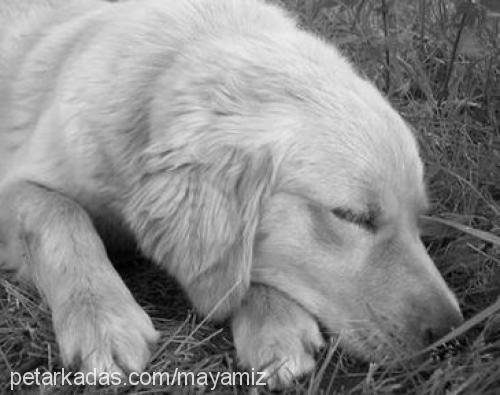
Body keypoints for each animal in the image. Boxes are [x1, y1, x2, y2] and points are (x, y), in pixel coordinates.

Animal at [0, 0, 460, 390]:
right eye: (351, 216)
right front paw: (103, 318)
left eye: (419, 219)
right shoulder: (17, 182)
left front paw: (276, 322)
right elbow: (59, 215)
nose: (451, 333)